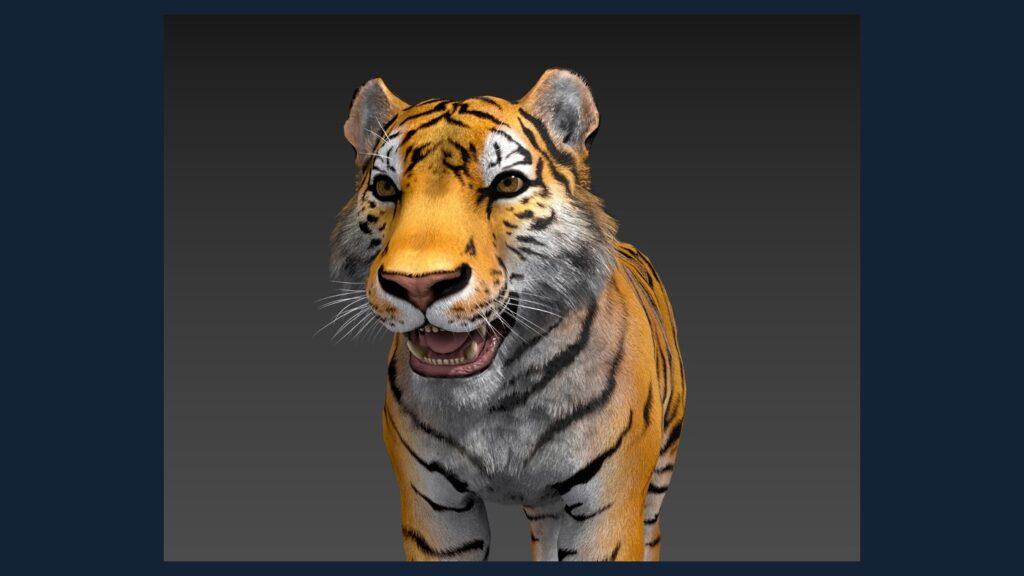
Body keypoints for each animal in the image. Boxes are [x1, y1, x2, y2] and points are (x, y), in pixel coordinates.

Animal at [327, 69, 686, 561]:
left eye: (508, 185)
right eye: (384, 188)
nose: (418, 283)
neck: (498, 404)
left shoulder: (607, 508)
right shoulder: (434, 509)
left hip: (658, 475)